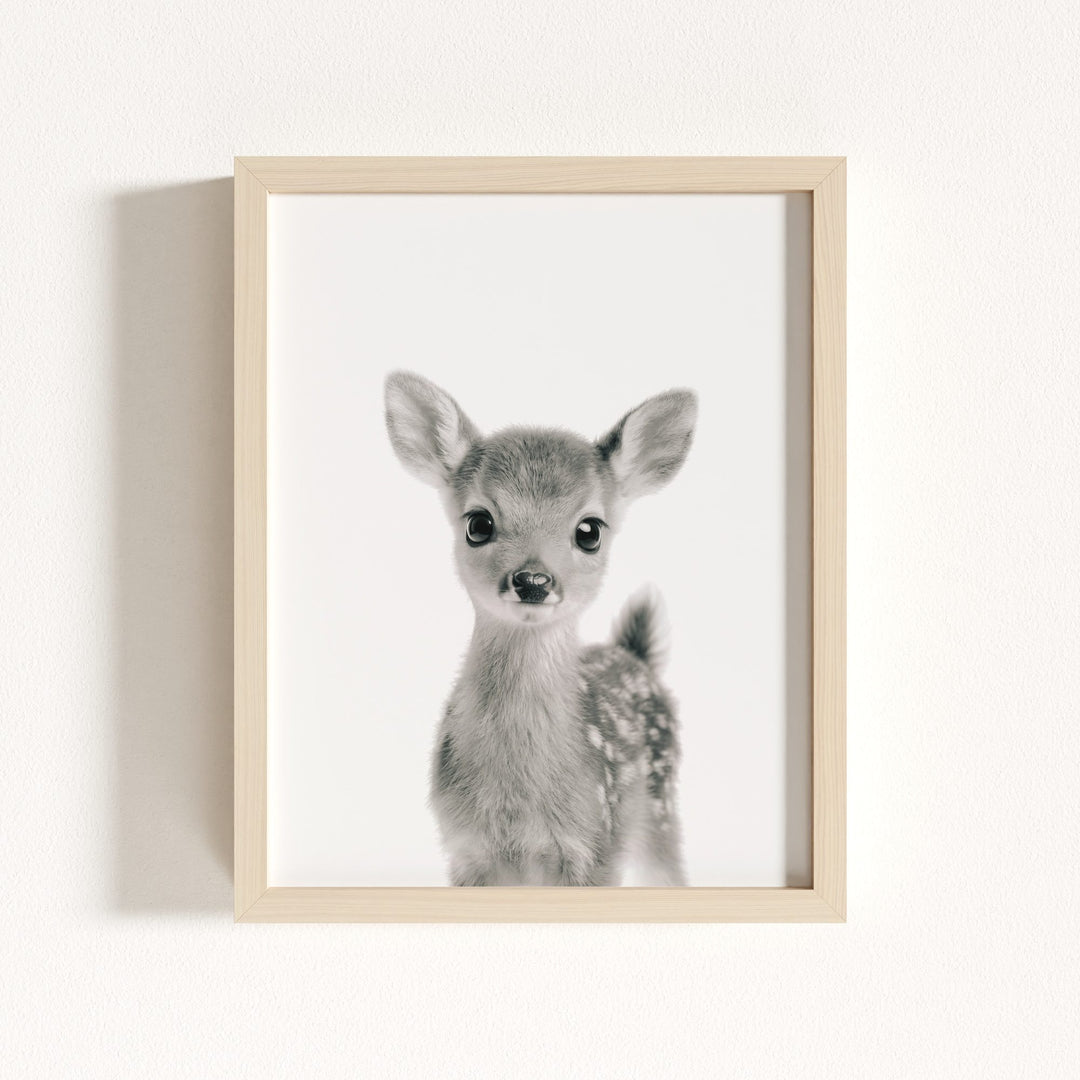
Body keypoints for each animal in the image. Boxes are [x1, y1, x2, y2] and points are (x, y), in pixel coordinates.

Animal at [384, 371, 697, 886]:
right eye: (478, 523)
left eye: (590, 531)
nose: (533, 581)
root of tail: (635, 654)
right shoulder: (465, 849)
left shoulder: (596, 845)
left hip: (660, 809)